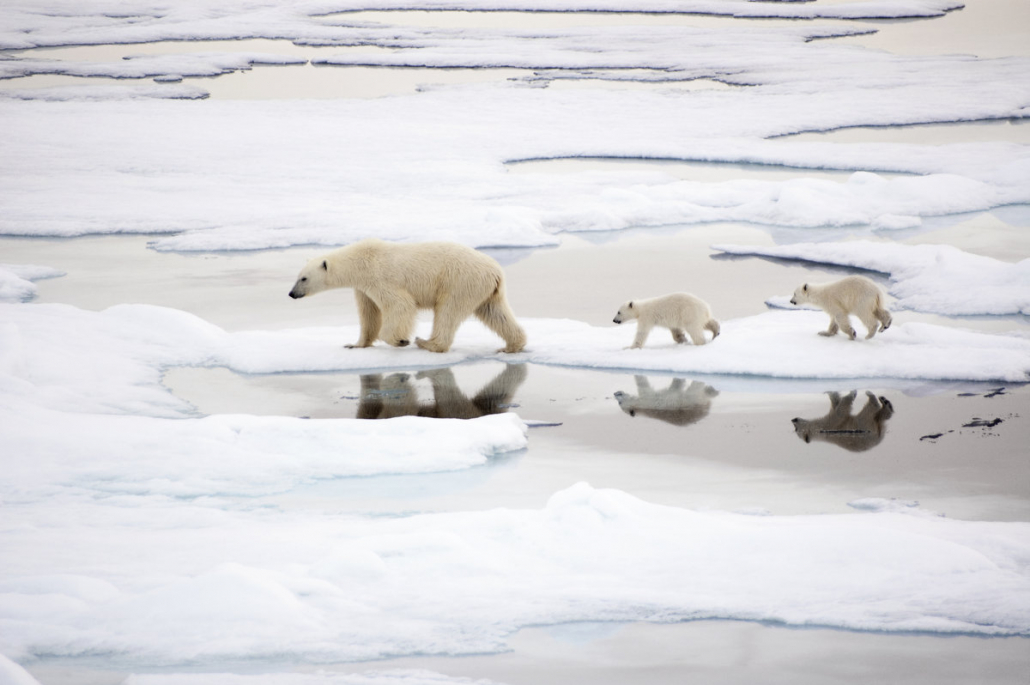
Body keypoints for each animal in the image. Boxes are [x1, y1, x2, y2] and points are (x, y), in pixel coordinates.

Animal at [292, 237, 527, 352]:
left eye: (303, 278)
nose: (291, 293)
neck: (361, 260)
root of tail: (496, 271)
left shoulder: (380, 278)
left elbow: (400, 305)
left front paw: (400, 340)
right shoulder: (363, 288)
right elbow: (369, 315)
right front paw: (355, 344)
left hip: (460, 281)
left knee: (447, 311)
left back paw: (427, 343)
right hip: (485, 289)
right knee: (495, 313)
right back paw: (512, 345)